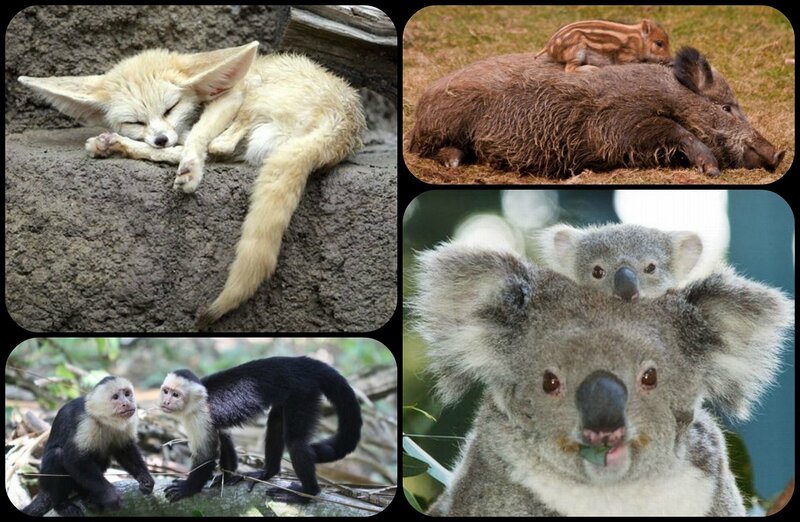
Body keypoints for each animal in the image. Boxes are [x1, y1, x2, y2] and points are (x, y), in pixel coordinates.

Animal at [18, 41, 366, 329]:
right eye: (136, 121)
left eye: (170, 109)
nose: (160, 137)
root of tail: (342, 123)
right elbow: (189, 142)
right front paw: (131, 144)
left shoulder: (229, 96)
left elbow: (200, 137)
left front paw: (189, 168)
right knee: (216, 148)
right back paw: (120, 146)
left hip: (254, 95)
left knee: (219, 144)